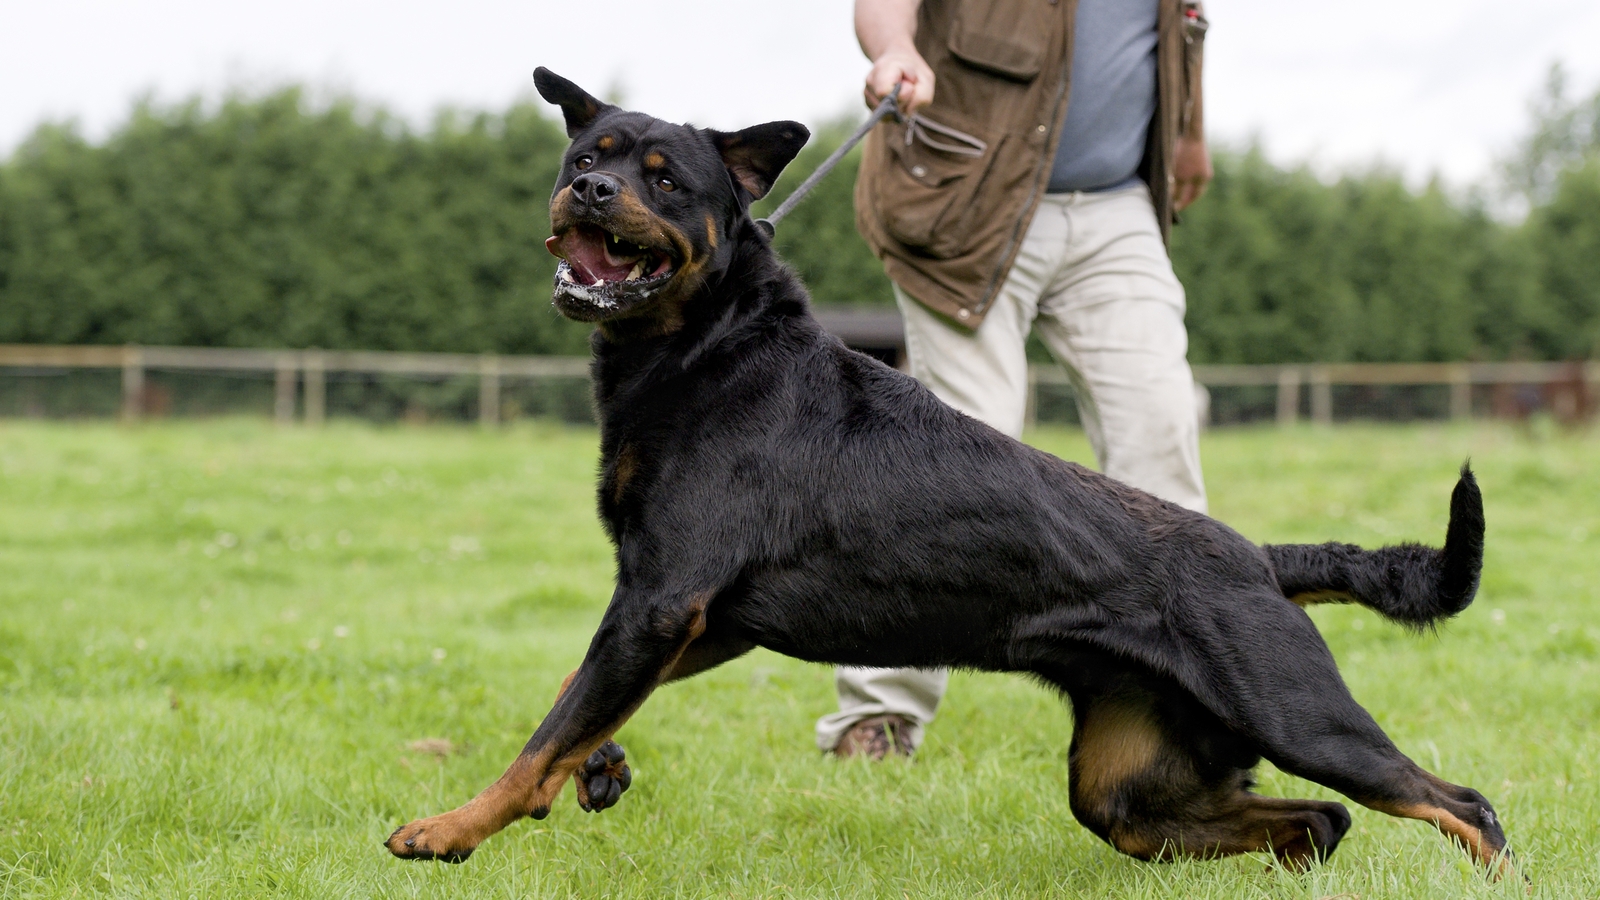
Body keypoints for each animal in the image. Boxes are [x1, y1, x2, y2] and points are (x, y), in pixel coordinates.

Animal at [387, 70, 1510, 877]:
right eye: (589, 154)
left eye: (664, 179)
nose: (589, 188)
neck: (707, 347)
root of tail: (1260, 558)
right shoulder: (696, 618)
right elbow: (575, 701)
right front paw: (600, 766)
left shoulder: (663, 599)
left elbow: (543, 734)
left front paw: (448, 830)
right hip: (1129, 783)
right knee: (1310, 820)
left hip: (1297, 714)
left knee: (1458, 804)